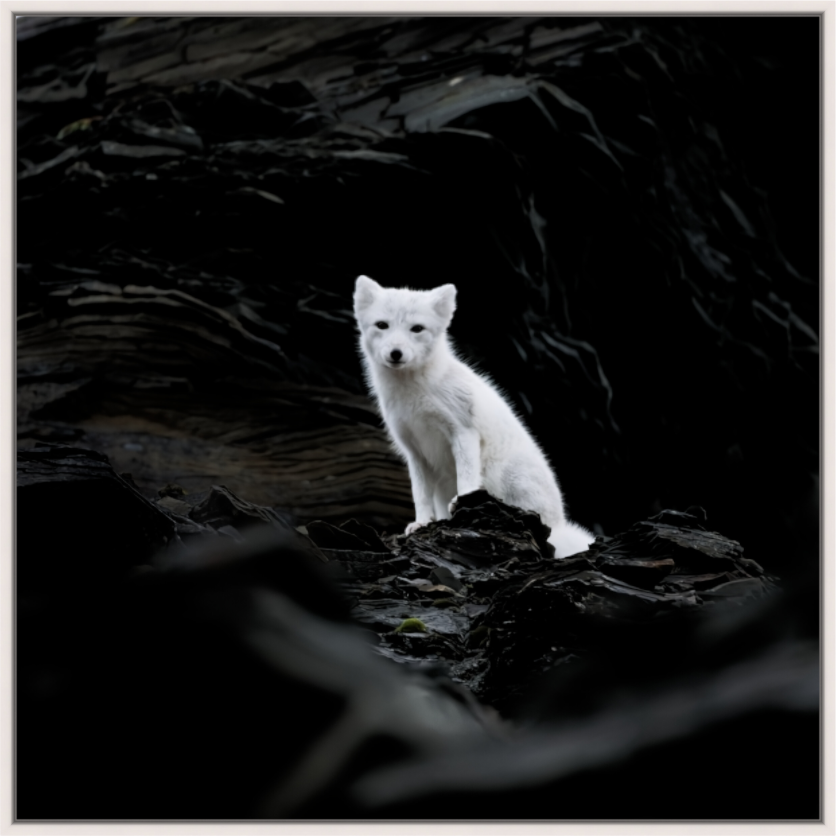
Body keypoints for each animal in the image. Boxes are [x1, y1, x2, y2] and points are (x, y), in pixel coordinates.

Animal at [352, 275, 595, 559]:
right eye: (382, 325)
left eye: (417, 329)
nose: (396, 353)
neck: (415, 394)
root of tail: (558, 523)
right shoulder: (414, 450)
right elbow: (419, 494)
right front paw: (421, 523)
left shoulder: (463, 431)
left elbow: (466, 477)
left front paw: (462, 504)